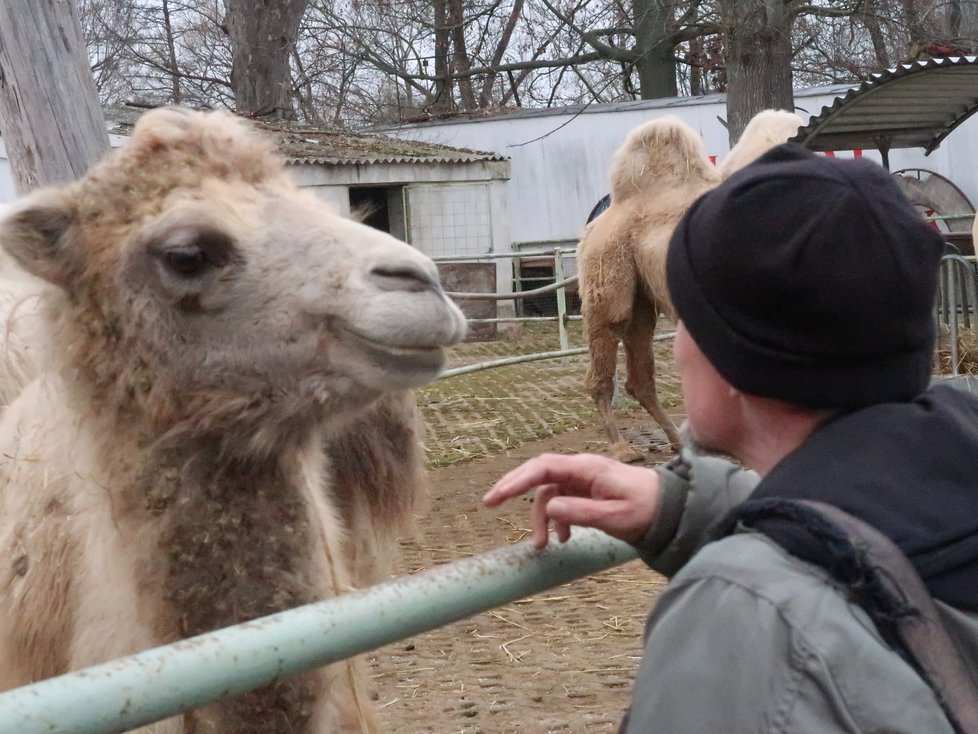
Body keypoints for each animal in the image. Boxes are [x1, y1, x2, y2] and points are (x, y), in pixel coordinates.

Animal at [580, 108, 800, 466]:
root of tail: (602, 215)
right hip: (607, 269)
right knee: (610, 334)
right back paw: (623, 449)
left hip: (643, 295)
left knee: (639, 371)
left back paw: (678, 442)